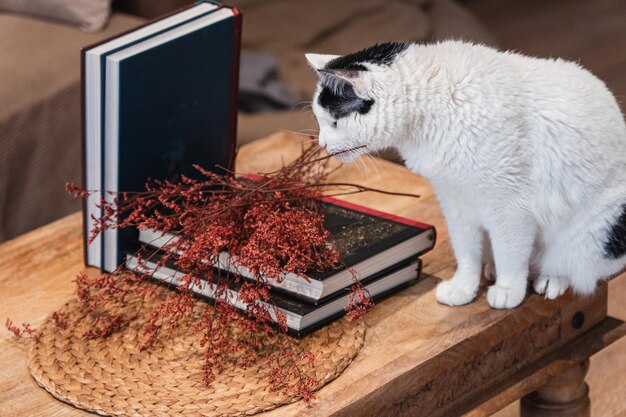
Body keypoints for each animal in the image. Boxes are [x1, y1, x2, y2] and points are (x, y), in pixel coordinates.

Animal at [304, 40, 624, 308]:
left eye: (333, 122)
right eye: (321, 121)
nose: (322, 144)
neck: (436, 103)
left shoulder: (510, 207)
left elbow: (510, 253)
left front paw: (508, 289)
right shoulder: (455, 199)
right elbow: (466, 250)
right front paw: (464, 288)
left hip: (594, 230)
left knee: (577, 266)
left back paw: (550, 279)